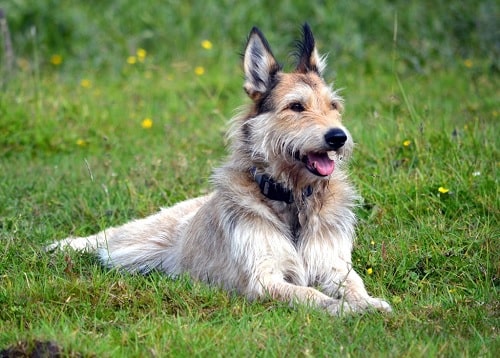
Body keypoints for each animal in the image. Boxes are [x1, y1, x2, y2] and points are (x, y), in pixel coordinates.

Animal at [47, 24, 390, 316]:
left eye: (333, 106)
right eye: (296, 107)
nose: (338, 137)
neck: (291, 197)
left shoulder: (333, 265)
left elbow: (354, 283)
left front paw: (368, 302)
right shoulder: (263, 278)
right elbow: (310, 295)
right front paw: (344, 308)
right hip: (133, 244)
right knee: (108, 238)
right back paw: (63, 246)